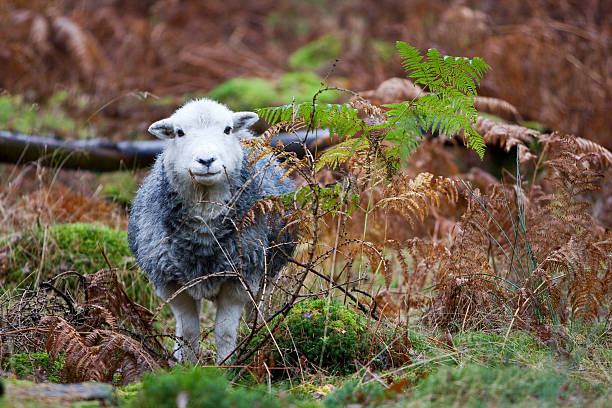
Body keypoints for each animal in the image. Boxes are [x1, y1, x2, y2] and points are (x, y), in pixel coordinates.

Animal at [128, 99, 296, 364]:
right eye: (179, 132)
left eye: (226, 129)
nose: (206, 160)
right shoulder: (172, 284)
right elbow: (187, 331)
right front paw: (186, 366)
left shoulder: (240, 279)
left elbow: (224, 331)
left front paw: (226, 365)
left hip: (266, 272)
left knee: (255, 309)